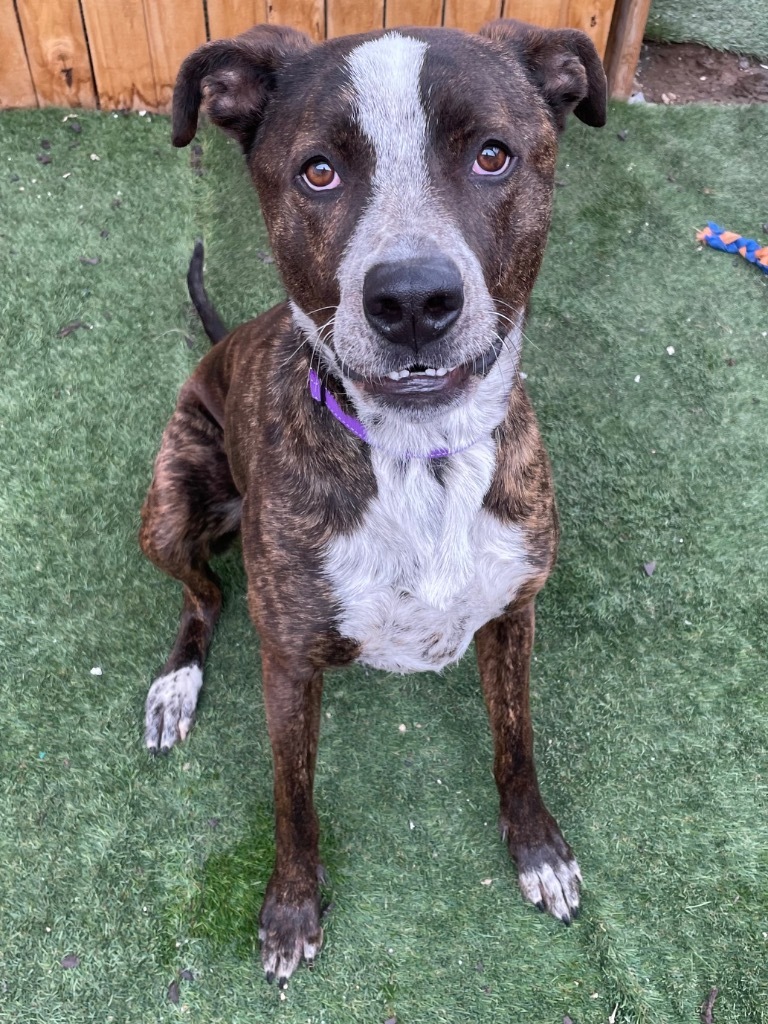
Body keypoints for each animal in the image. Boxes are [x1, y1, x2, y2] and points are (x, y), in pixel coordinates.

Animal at [140, 16, 606, 987]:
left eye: (493, 156)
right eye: (318, 170)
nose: (414, 299)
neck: (417, 460)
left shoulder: (515, 614)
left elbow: (516, 746)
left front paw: (538, 850)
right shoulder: (289, 664)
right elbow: (294, 798)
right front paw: (290, 907)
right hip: (166, 507)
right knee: (204, 593)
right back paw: (175, 684)